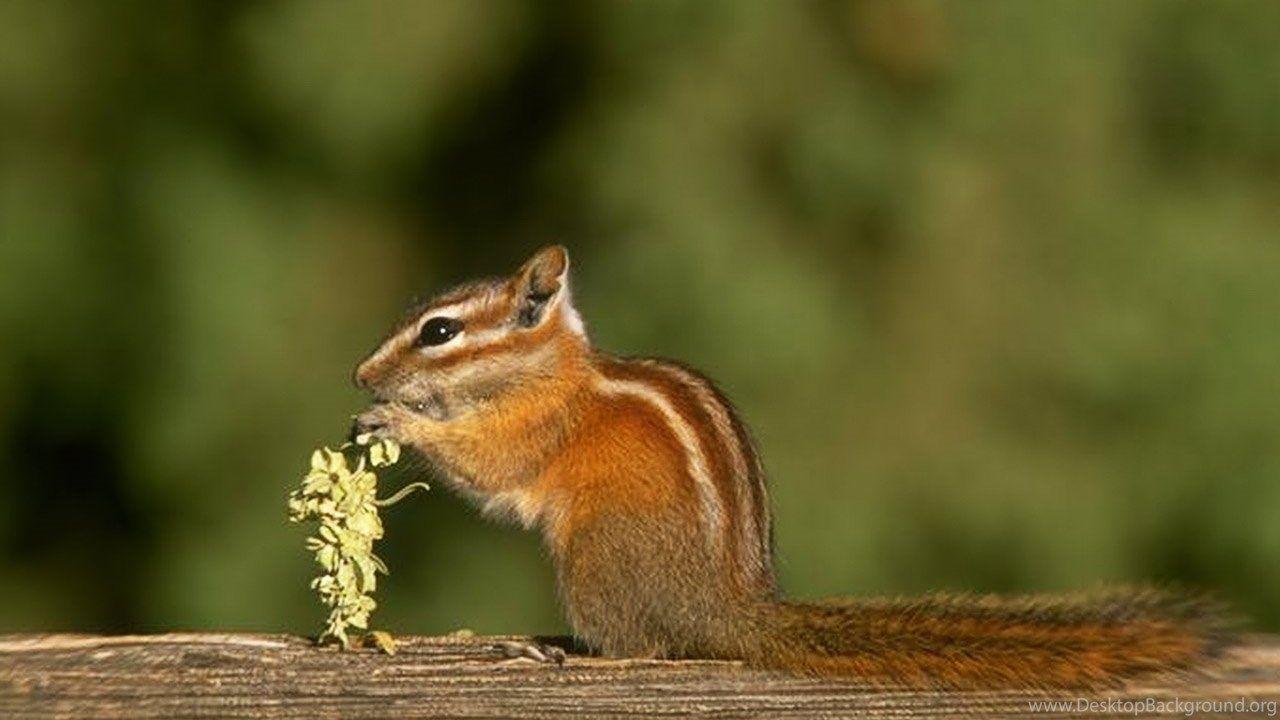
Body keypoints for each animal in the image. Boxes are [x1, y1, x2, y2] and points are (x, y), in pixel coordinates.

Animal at [353, 245, 1235, 690]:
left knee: (651, 647)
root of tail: (730, 613)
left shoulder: (535, 430)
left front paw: (398, 421)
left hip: (594, 555)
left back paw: (566, 653)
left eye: (438, 332)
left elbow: (488, 464)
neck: (553, 370)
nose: (361, 376)